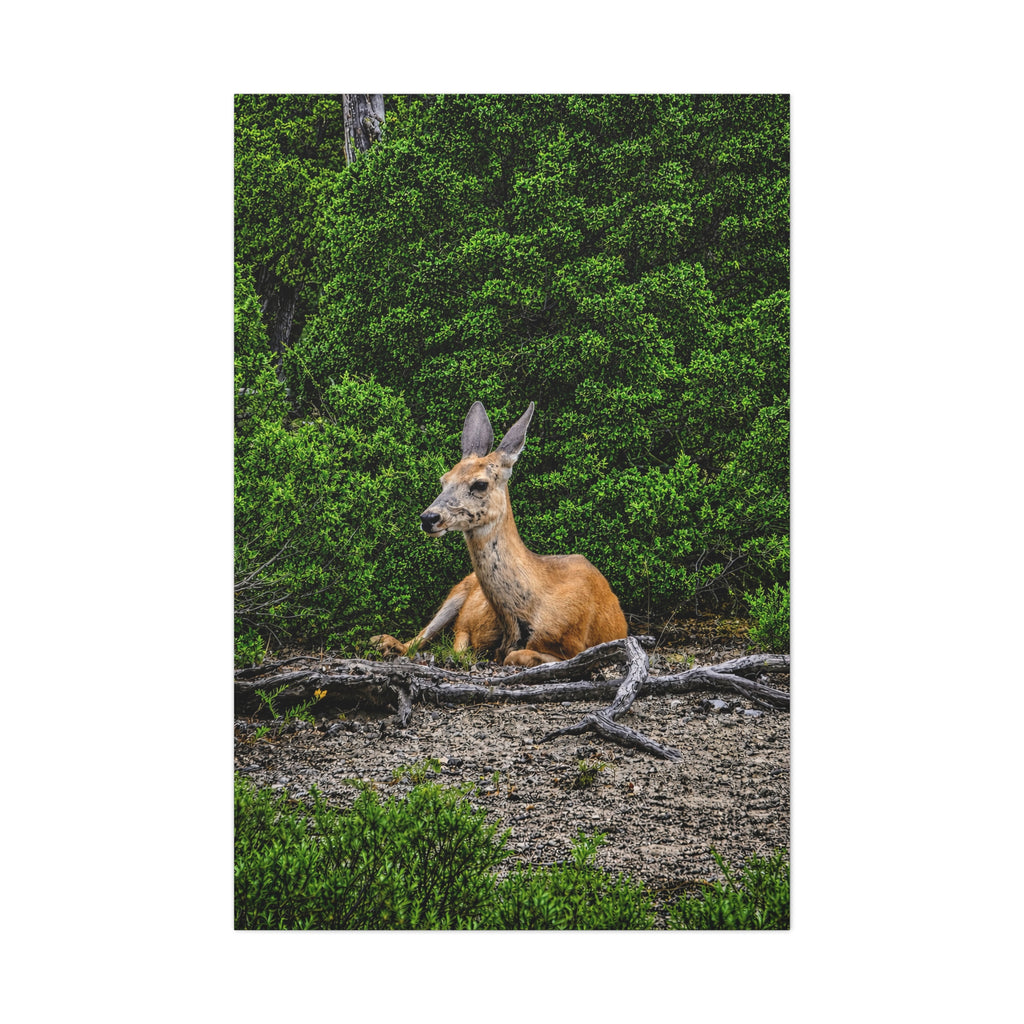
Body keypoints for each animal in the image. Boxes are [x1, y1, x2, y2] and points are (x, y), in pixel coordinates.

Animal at [370, 401, 628, 668]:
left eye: (480, 484)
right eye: (444, 480)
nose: (429, 518)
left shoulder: (575, 645)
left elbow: (514, 655)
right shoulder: (467, 626)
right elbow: (464, 647)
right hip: (459, 589)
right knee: (417, 638)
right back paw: (383, 642)